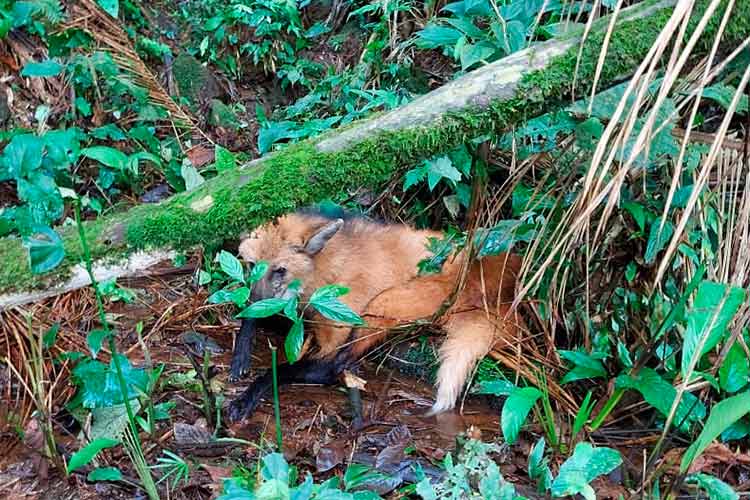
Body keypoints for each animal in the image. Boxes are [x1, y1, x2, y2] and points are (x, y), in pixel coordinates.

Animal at [226, 207, 524, 422]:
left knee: (335, 367)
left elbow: (282, 370)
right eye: (251, 265)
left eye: (280, 270)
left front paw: (245, 398)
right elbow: (257, 319)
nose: (253, 304)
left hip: (382, 304)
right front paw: (241, 353)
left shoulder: (334, 331)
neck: (327, 273)